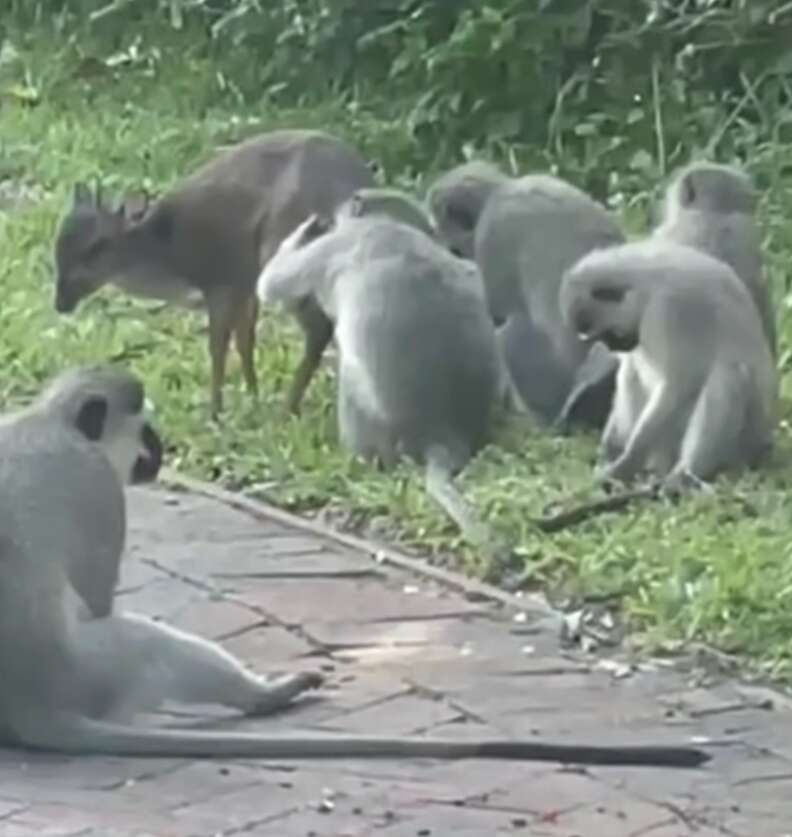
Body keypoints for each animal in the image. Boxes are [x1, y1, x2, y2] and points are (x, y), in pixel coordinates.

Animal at [0, 366, 710, 767]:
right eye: (143, 432)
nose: (158, 452)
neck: (48, 422)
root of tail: (30, 703)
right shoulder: (99, 488)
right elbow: (98, 599)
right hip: (94, 673)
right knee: (142, 640)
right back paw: (267, 696)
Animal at [53, 129, 376, 418]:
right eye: (58, 244)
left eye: (96, 247)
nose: (60, 303)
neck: (169, 255)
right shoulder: (244, 286)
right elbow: (245, 341)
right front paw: (253, 396)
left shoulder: (222, 282)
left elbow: (217, 347)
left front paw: (216, 412)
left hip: (285, 251)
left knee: (319, 328)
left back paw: (290, 408)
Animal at [427, 161, 626, 430]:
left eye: (454, 248)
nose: (455, 252)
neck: (502, 189)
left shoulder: (491, 232)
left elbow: (496, 309)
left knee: (510, 332)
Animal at [559, 240, 776, 490]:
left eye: (607, 335)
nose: (612, 347)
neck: (646, 286)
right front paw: (611, 449)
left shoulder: (670, 310)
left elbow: (677, 387)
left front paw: (627, 462)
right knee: (632, 372)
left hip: (743, 439)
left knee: (728, 375)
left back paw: (683, 475)